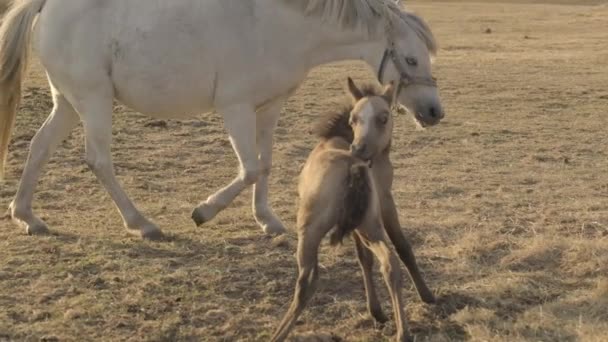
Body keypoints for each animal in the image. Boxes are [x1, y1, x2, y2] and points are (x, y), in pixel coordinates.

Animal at [1, 0, 446, 240]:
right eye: (410, 59)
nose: (434, 112)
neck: (279, 27)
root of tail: (48, 6)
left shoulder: (268, 108)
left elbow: (265, 165)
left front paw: (268, 221)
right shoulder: (236, 108)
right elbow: (248, 169)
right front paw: (204, 211)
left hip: (68, 102)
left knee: (39, 147)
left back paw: (27, 217)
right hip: (93, 101)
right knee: (99, 161)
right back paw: (141, 223)